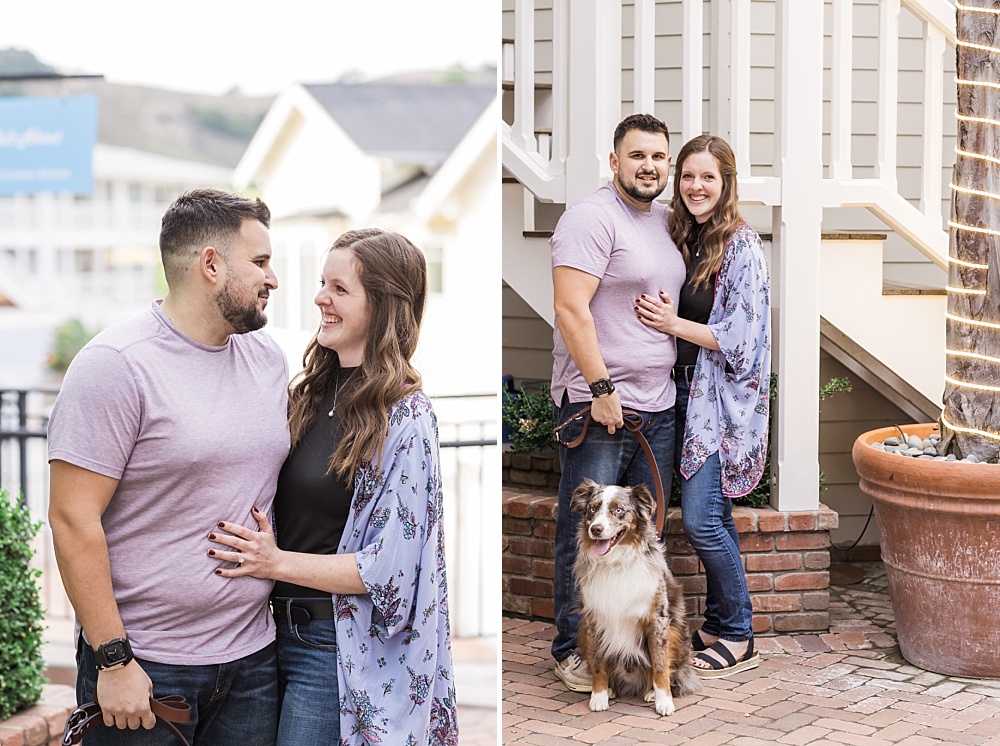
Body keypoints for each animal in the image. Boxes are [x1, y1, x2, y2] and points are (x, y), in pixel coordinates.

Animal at [572, 476, 704, 716]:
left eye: (618, 510)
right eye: (592, 509)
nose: (596, 529)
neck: (616, 563)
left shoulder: (657, 620)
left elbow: (660, 665)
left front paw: (664, 701)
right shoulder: (594, 619)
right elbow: (598, 663)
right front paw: (599, 695)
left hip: (675, 631)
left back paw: (651, 692)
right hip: (583, 631)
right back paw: (612, 689)